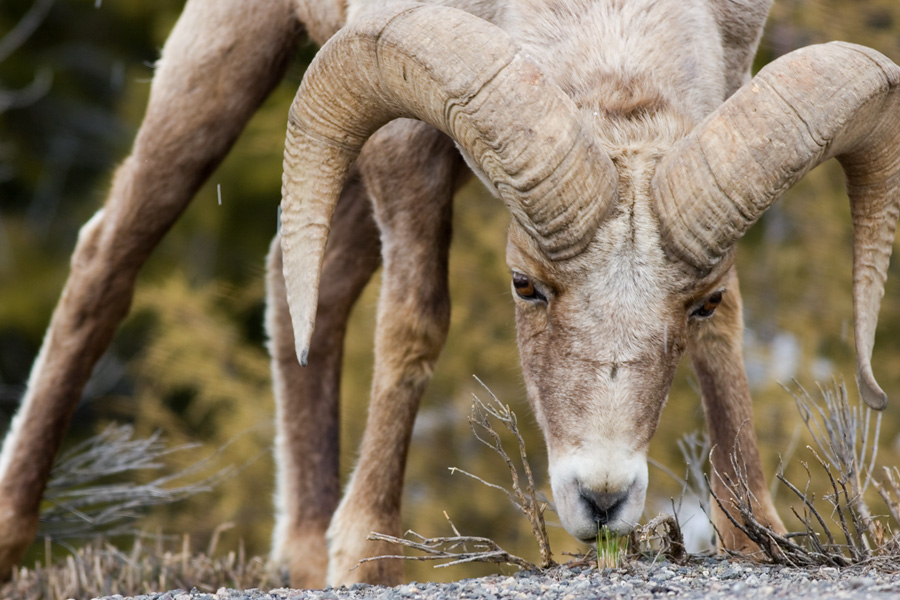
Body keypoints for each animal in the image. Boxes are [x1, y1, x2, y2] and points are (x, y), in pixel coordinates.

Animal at [1, 0, 900, 592]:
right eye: (525, 286)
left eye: (697, 305)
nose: (603, 499)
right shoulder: (406, 145)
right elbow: (414, 323)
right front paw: (369, 558)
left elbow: (728, 345)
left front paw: (758, 535)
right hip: (226, 52)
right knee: (107, 260)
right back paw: (14, 534)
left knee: (306, 288)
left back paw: (304, 557)